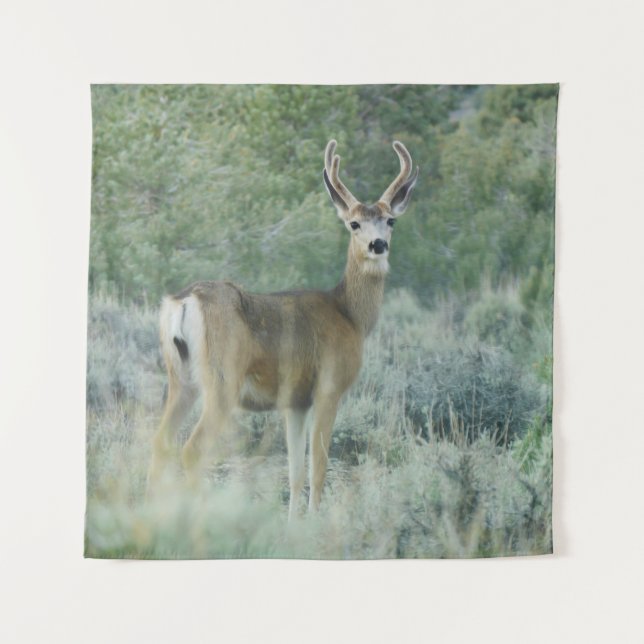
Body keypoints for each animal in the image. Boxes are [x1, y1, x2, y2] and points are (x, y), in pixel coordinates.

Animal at [147, 139, 418, 520]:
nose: (378, 244)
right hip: (222, 379)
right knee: (192, 449)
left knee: (160, 442)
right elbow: (318, 468)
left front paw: (293, 524)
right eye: (353, 224)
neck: (350, 315)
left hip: (180, 377)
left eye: (390, 220)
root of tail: (183, 301)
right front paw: (314, 523)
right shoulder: (329, 387)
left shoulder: (295, 402)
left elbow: (295, 471)